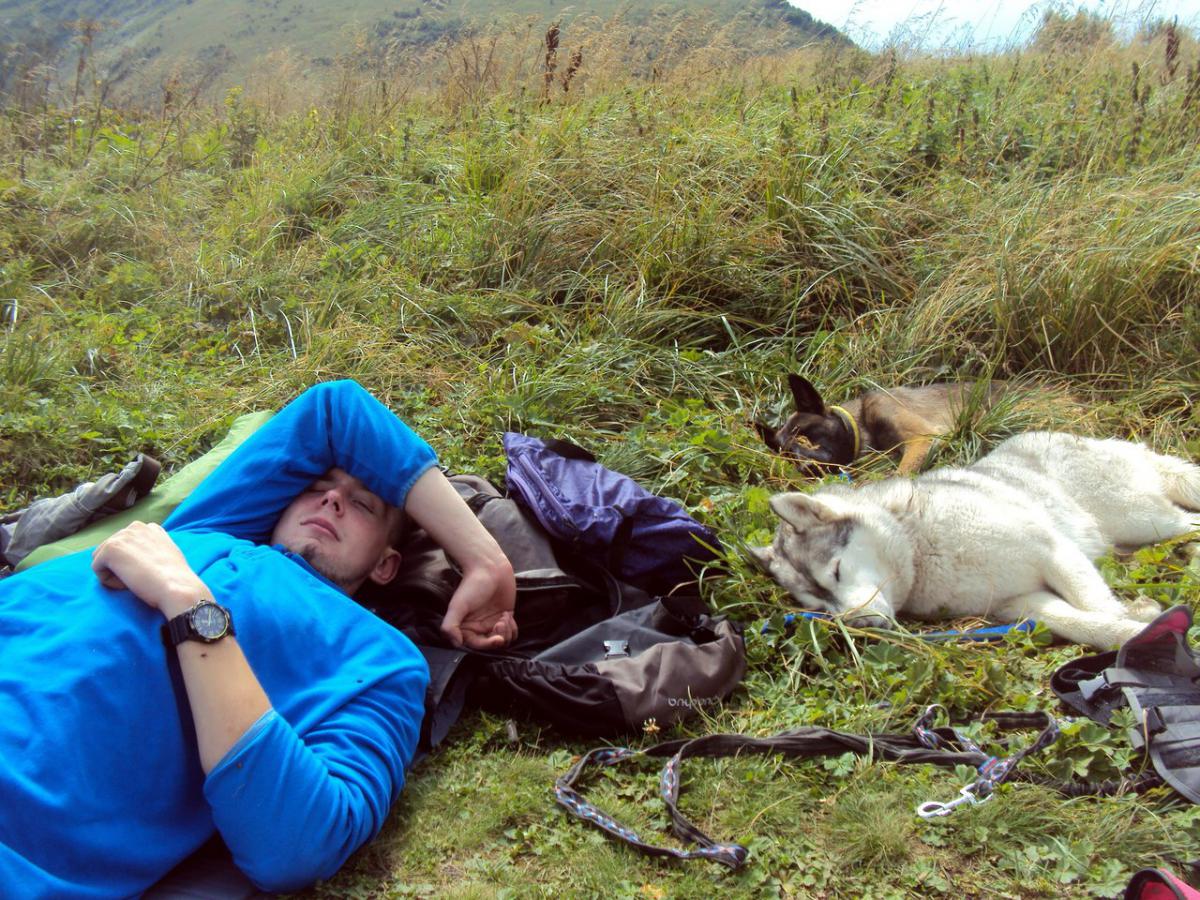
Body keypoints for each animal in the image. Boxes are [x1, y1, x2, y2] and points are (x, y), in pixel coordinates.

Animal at [748, 432, 1200, 648]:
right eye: (819, 606)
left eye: (837, 572)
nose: (861, 626)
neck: (922, 548)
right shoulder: (1020, 603)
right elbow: (1086, 623)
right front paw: (1136, 632)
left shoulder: (1052, 550)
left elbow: (1097, 604)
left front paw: (1138, 617)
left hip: (1141, 519)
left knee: (1188, 522)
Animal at [756, 374, 1009, 476]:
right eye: (787, 454)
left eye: (804, 435)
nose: (805, 469)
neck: (862, 423)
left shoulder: (923, 439)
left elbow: (899, 475)